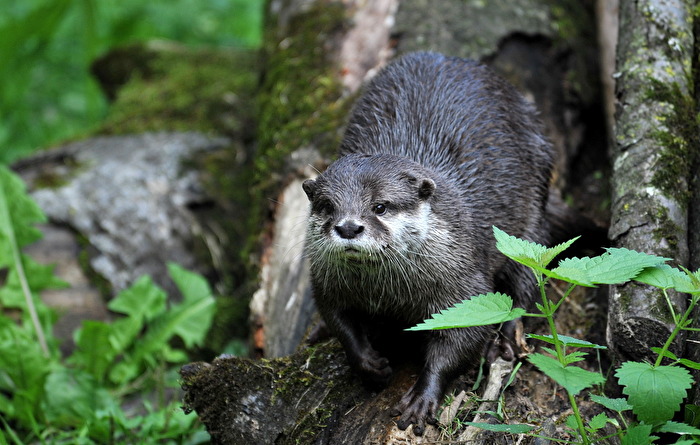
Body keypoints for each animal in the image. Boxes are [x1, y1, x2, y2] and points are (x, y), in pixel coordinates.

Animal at [302, 52, 561, 435]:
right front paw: (369, 363)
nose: (348, 227)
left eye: (380, 206)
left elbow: (462, 336)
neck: (391, 296)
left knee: (528, 280)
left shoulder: (463, 283)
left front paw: (422, 397)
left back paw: (507, 339)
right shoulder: (326, 279)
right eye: (326, 206)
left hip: (529, 218)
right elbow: (338, 318)